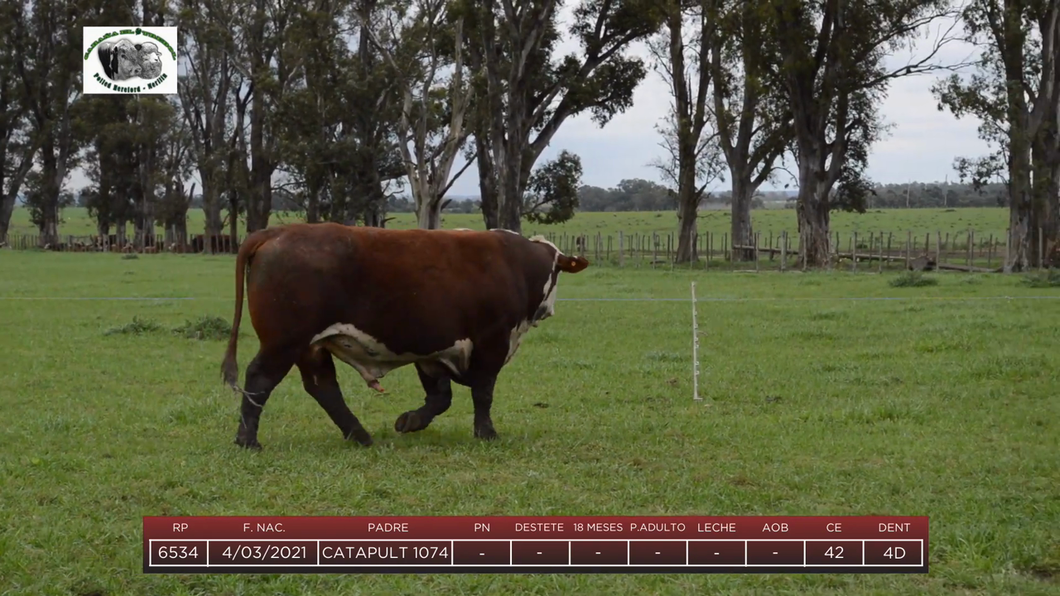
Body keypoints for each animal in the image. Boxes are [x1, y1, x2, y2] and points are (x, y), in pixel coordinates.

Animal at [220, 222, 593, 445]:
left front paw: (411, 421)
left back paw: (359, 435)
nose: (548, 309)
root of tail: (278, 230)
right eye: (557, 273)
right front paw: (486, 433)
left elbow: (440, 397)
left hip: (309, 347)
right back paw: (247, 440)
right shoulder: (492, 340)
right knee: (260, 378)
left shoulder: (434, 349)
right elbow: (483, 392)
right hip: (283, 342)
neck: (515, 264)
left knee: (322, 386)